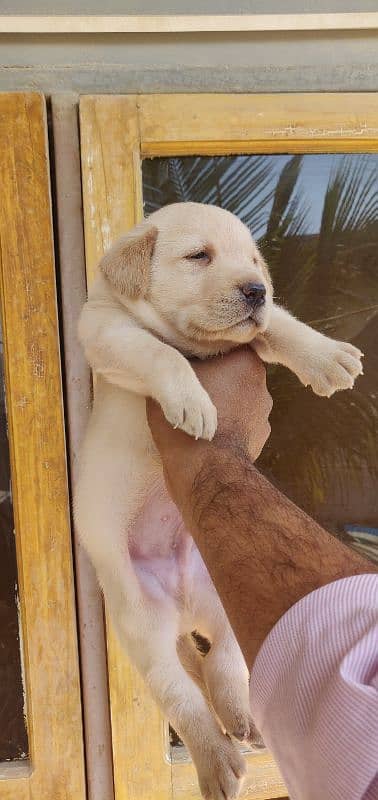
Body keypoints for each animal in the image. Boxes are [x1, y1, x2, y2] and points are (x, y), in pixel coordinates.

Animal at [75, 202, 362, 800]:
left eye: (253, 261)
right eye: (198, 256)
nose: (255, 289)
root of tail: (184, 606)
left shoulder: (257, 328)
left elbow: (280, 323)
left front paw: (326, 358)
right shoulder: (108, 332)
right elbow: (159, 352)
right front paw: (193, 403)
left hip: (225, 589)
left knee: (225, 661)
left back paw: (243, 713)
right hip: (143, 626)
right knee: (182, 697)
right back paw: (217, 763)